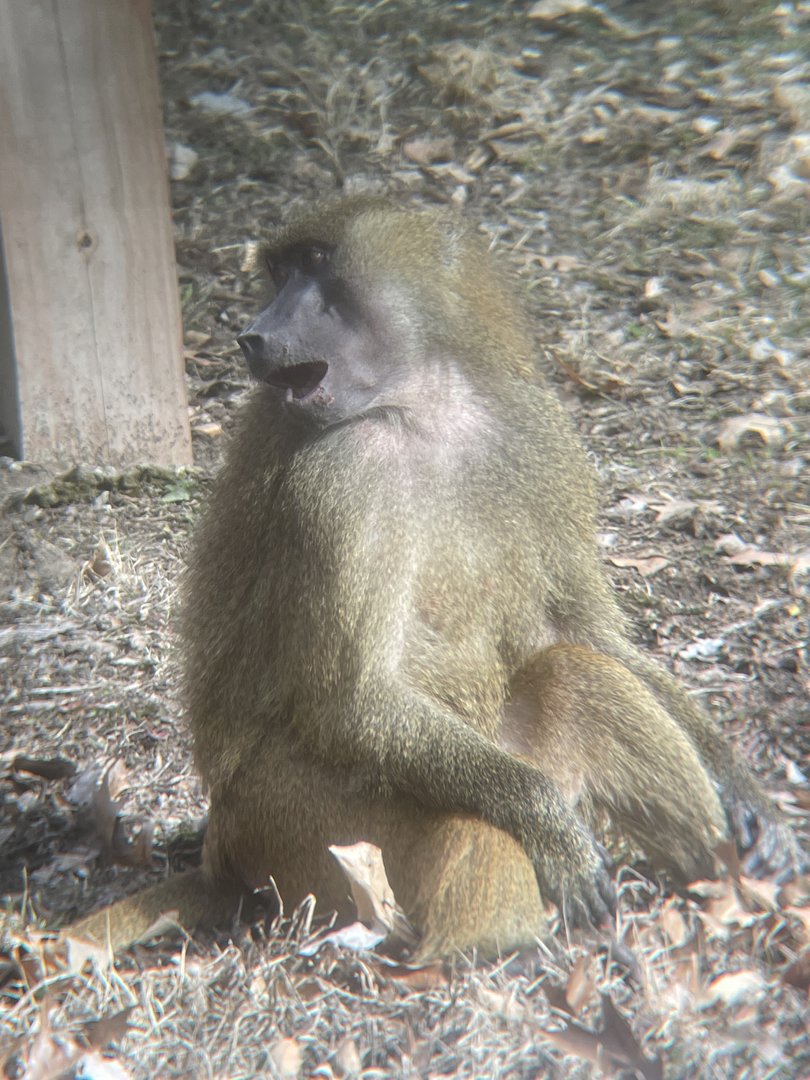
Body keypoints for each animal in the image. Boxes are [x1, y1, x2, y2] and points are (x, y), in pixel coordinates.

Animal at [67, 196, 804, 959]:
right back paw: (480, 950)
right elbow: (355, 701)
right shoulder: (339, 477)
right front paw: (557, 836)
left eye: (316, 265)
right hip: (298, 829)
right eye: (279, 273)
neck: (425, 406)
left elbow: (594, 636)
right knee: (468, 823)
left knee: (578, 675)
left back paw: (723, 880)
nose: (254, 335)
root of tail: (224, 851)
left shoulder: (541, 434)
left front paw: (747, 795)